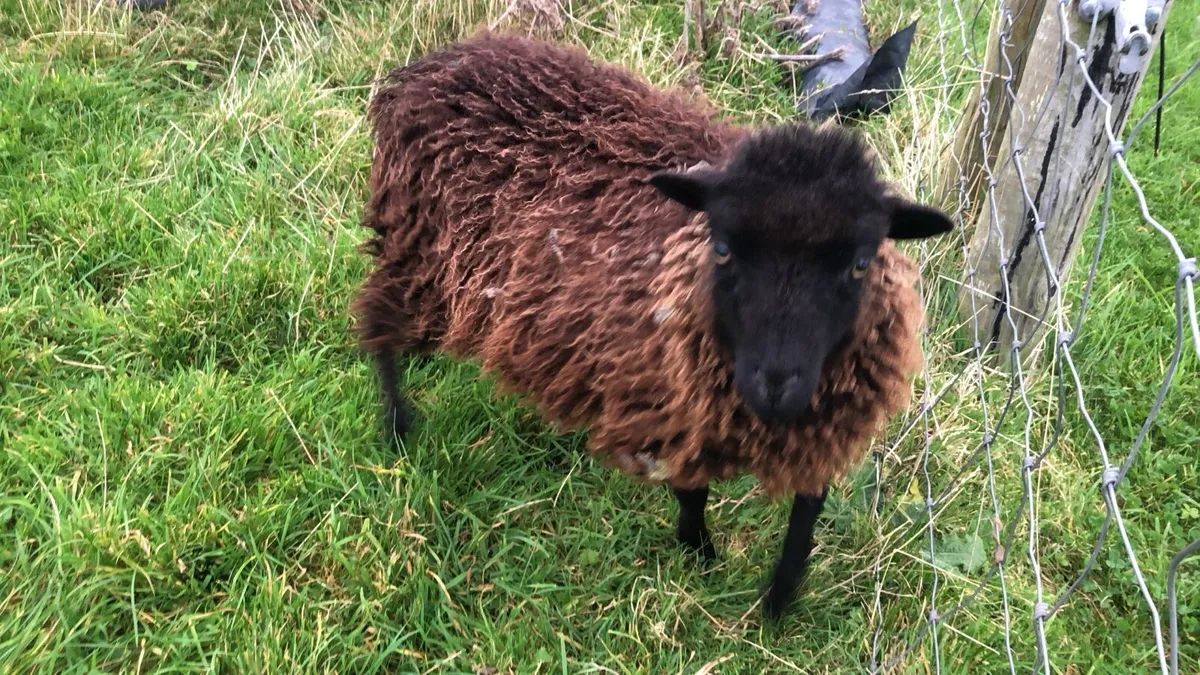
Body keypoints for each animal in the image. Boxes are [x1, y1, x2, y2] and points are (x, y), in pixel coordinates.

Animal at [353, 32, 953, 619]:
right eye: (723, 247)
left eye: (860, 263)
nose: (775, 386)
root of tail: (428, 66)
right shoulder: (672, 407)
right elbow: (692, 492)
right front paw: (700, 555)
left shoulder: (826, 420)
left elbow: (808, 510)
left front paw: (780, 600)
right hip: (422, 247)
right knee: (377, 323)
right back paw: (398, 428)